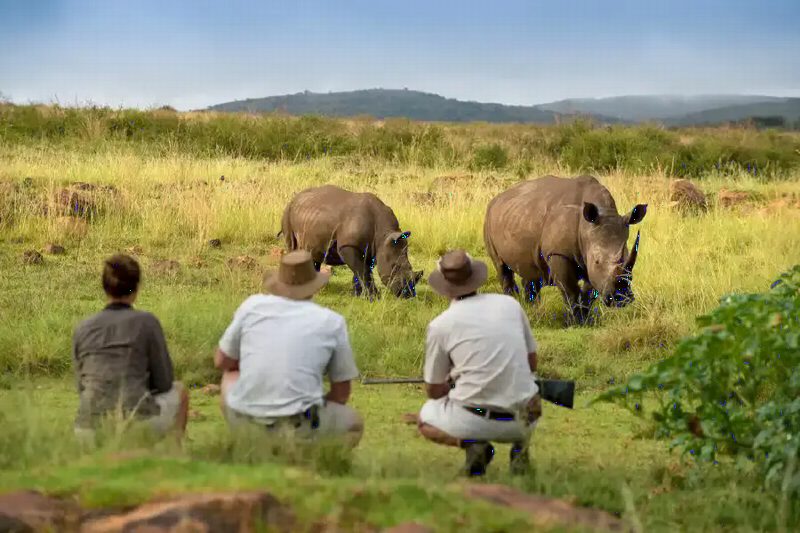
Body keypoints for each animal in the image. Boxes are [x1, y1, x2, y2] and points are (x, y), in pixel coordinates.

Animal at [279, 185, 423, 299]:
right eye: (394, 267)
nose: (407, 295)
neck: (384, 234)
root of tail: (294, 198)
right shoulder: (348, 246)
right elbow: (363, 271)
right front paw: (374, 297)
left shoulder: (370, 248)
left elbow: (360, 271)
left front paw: (358, 296)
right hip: (287, 213)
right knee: (292, 247)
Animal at [483, 175, 647, 325]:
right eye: (597, 261)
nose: (621, 298)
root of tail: (496, 198)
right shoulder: (558, 253)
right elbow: (570, 290)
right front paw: (574, 323)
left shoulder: (588, 256)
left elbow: (589, 291)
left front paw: (585, 321)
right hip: (489, 219)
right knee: (502, 267)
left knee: (530, 271)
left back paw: (531, 309)